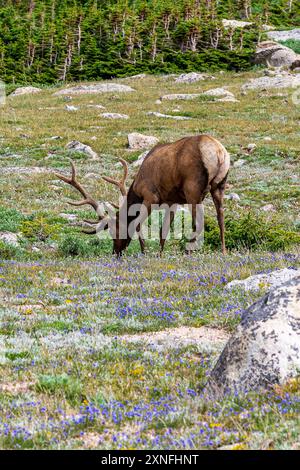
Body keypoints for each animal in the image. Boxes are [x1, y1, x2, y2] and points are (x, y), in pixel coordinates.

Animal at [55, 132, 230, 258]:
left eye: (113, 231)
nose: (115, 252)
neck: (136, 187)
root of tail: (219, 152)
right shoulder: (171, 200)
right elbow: (163, 230)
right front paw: (159, 254)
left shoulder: (150, 196)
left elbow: (138, 224)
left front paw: (144, 251)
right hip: (219, 186)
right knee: (220, 217)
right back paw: (223, 251)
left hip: (192, 188)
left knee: (198, 221)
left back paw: (189, 251)